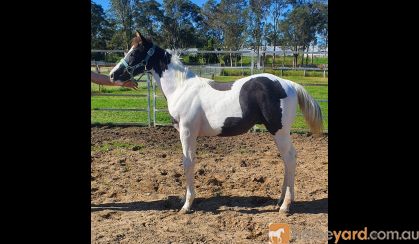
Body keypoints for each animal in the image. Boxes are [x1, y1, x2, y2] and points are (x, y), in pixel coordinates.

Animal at [110, 31, 324, 213]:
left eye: (135, 51)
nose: (113, 74)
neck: (181, 87)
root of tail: (290, 84)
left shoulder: (187, 132)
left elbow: (188, 163)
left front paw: (187, 205)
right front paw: (184, 199)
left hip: (280, 131)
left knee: (290, 158)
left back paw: (286, 205)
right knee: (287, 160)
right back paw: (280, 200)